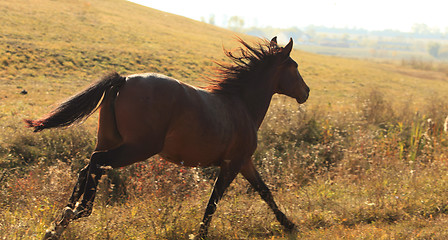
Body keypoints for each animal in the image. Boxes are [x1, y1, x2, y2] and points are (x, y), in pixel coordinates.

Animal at [26, 36, 308, 239]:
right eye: (294, 67)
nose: (306, 92)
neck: (241, 106)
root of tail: (123, 80)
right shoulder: (232, 164)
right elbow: (214, 200)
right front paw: (201, 234)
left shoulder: (245, 162)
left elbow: (264, 191)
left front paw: (289, 224)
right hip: (137, 148)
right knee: (97, 163)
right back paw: (79, 211)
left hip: (110, 140)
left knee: (86, 169)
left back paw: (58, 224)